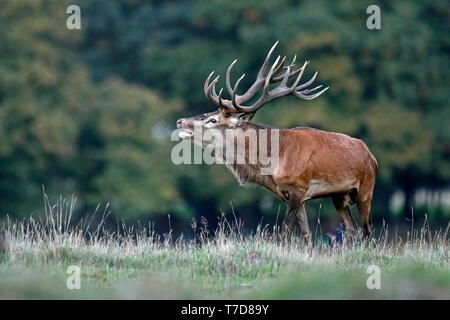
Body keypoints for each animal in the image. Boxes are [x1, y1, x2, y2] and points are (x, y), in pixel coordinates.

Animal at [176, 42, 376, 242]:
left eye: (213, 120)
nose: (180, 121)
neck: (272, 162)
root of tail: (371, 156)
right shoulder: (288, 194)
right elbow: (306, 235)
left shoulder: (299, 188)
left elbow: (284, 231)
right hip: (339, 195)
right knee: (351, 228)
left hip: (366, 188)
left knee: (367, 230)